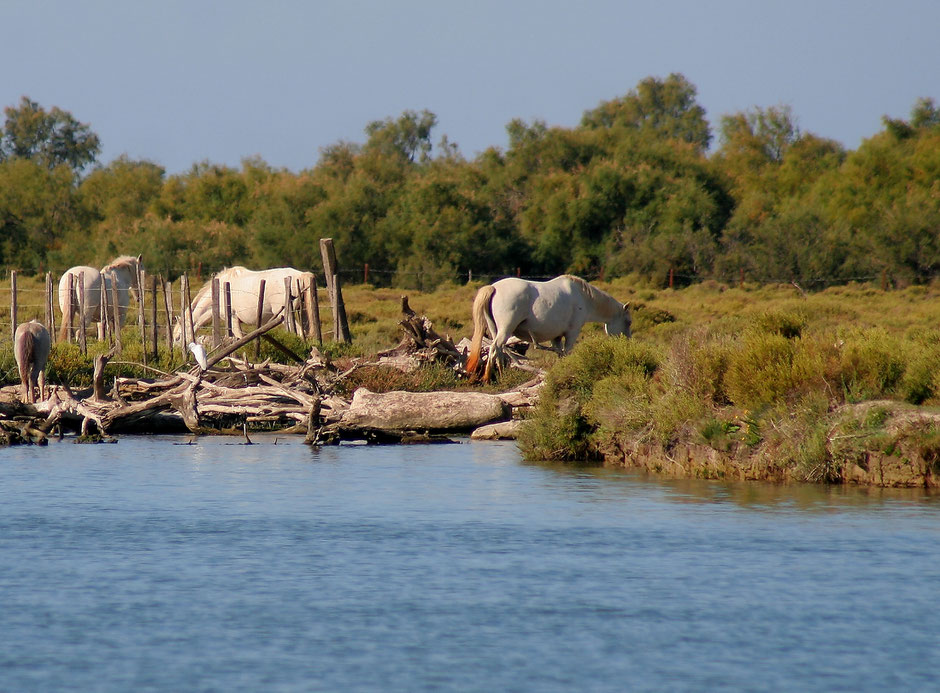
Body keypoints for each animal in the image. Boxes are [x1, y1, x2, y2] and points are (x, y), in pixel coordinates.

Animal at [176, 264, 320, 340]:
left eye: (178, 338)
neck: (219, 290)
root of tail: (300, 275)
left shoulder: (233, 319)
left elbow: (238, 338)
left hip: (286, 316)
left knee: (299, 333)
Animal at [464, 274, 632, 382]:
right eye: (628, 322)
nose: (627, 343)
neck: (583, 297)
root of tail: (493, 287)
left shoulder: (556, 337)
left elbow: (560, 354)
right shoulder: (572, 333)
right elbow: (567, 352)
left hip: (495, 330)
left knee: (498, 350)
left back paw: (501, 375)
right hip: (505, 330)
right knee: (494, 348)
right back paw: (487, 378)